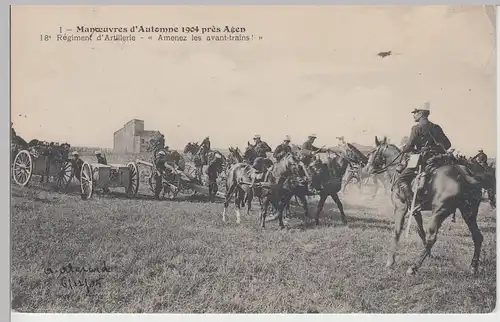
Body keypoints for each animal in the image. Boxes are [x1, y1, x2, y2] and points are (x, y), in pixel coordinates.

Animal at [364, 136, 484, 274]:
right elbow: (420, 231)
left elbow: (397, 231)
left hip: (439, 212)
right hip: (469, 213)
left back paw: (414, 267)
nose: (367, 169)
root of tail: (465, 176)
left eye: (373, 152)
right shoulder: (415, 210)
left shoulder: (401, 207)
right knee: (477, 236)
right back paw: (473, 266)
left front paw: (390, 261)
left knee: (432, 237)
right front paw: (430, 254)